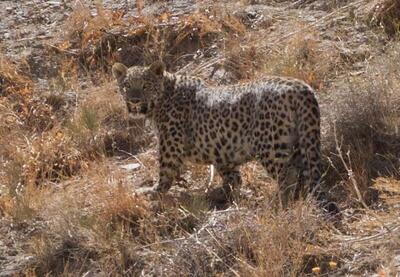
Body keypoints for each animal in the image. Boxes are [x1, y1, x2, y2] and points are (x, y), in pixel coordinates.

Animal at [111, 59, 338, 211]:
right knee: (304, 174)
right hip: (302, 141)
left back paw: (280, 203)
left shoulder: (170, 146)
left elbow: (165, 172)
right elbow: (233, 176)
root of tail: (302, 87)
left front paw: (153, 192)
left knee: (288, 175)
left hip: (271, 146)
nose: (134, 100)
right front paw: (224, 193)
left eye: (145, 85)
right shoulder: (221, 150)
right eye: (126, 86)